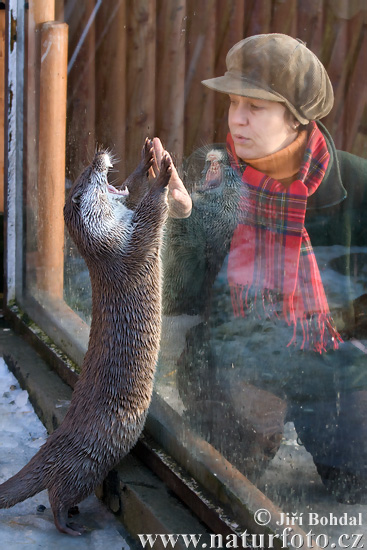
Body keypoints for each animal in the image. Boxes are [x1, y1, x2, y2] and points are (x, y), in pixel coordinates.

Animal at [0, 140, 172, 536]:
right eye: (87, 175)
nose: (99, 156)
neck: (105, 245)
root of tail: (53, 446)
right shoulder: (127, 247)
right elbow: (152, 214)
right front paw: (163, 179)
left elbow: (132, 191)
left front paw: (146, 163)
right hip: (86, 465)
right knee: (58, 493)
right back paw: (68, 525)